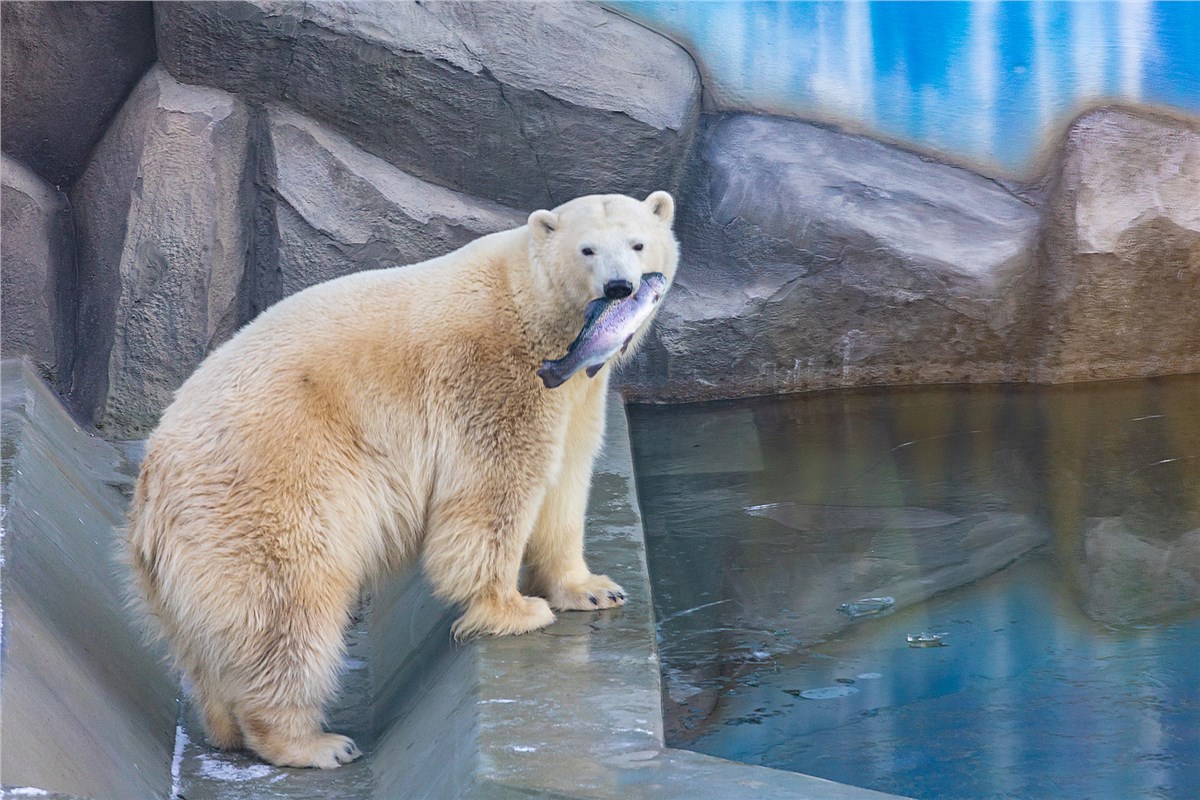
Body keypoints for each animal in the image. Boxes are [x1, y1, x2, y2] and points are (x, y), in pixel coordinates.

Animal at [126, 189, 681, 767]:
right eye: (587, 249)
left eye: (638, 244)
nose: (620, 287)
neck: (534, 314)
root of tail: (150, 491)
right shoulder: (494, 378)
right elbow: (494, 492)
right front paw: (513, 609)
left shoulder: (576, 392)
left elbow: (567, 483)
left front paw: (592, 589)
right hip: (265, 493)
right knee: (288, 607)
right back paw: (314, 742)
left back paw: (226, 723)